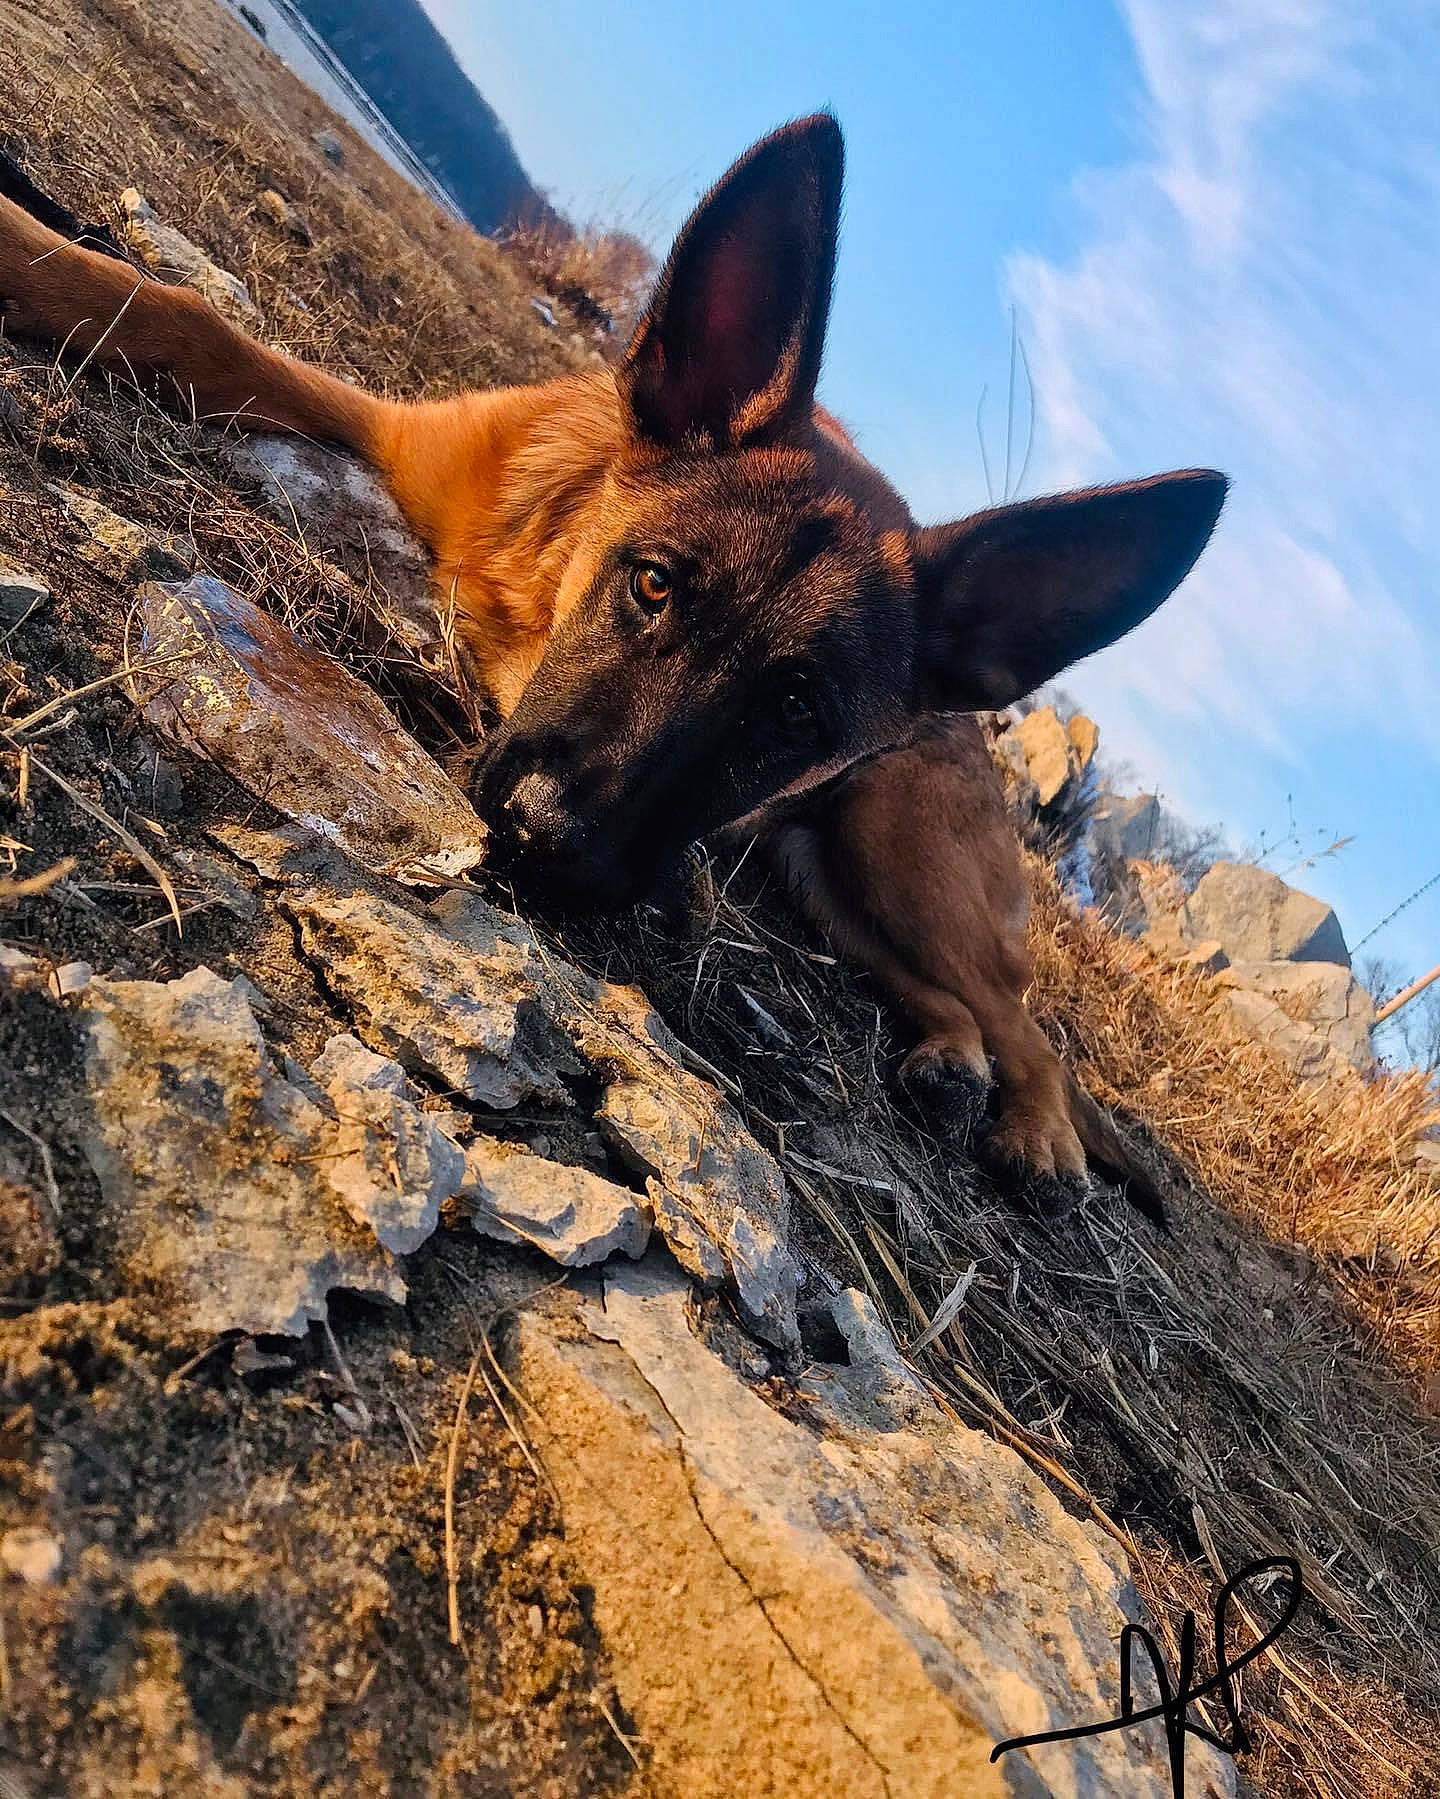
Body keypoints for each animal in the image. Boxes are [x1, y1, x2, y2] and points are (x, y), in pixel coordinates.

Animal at [0, 115, 1226, 1221]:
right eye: (654, 583)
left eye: (798, 709)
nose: (548, 842)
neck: (527, 608)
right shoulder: (388, 427)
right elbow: (193, 320)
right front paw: (37, 253)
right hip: (826, 882)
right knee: (959, 997)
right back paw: (952, 1059)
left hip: (898, 850)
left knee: (1028, 1020)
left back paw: (1036, 1126)